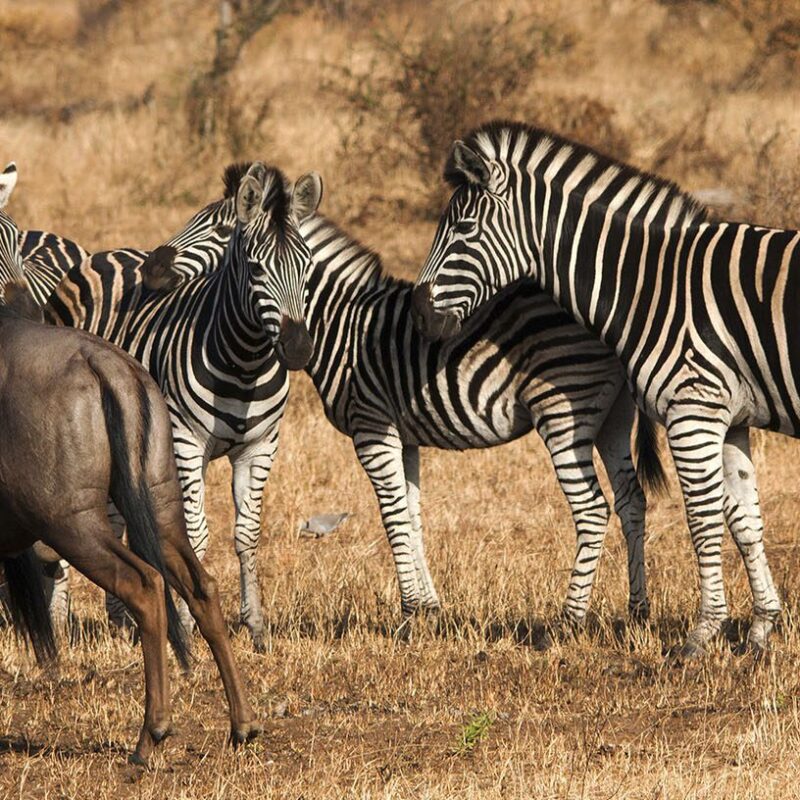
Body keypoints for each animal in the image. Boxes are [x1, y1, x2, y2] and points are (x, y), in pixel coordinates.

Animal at [45, 162, 322, 650]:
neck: (245, 361)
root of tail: (106, 253)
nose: (297, 348)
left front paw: (256, 627)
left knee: (116, 515)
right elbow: (193, 534)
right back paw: (59, 619)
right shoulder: (185, 443)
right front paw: (191, 623)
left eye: (306, 265)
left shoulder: (261, 447)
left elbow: (247, 533)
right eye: (255, 267)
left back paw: (121, 619)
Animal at [294, 213, 665, 628]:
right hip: (614, 416)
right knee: (631, 500)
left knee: (592, 509)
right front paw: (429, 606)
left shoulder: (371, 426)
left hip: (564, 407)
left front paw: (408, 615)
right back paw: (638, 610)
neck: (340, 321)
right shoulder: (404, 436)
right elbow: (412, 515)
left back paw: (570, 619)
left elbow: (393, 517)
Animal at [413, 120, 786, 657]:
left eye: (462, 229)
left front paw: (703, 631)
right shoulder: (729, 416)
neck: (654, 284)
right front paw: (760, 627)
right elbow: (744, 519)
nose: (420, 315)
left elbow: (702, 517)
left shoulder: (692, 412)